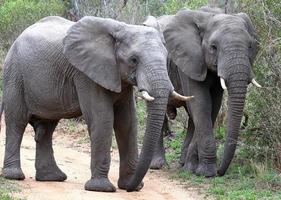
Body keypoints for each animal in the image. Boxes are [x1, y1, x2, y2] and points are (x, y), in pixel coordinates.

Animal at [0, 16, 191, 192]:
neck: (121, 29)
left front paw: (129, 185)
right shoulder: (86, 75)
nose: (131, 188)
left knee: (46, 129)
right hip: (14, 75)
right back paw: (14, 176)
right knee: (17, 122)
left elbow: (127, 122)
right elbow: (102, 119)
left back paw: (52, 177)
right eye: (133, 60)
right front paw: (102, 188)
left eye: (166, 58)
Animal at [143, 7, 262, 177]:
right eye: (213, 47)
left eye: (251, 46)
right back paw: (157, 165)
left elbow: (213, 105)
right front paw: (205, 172)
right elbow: (202, 104)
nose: (220, 171)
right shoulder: (189, 59)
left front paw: (191, 167)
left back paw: (182, 162)